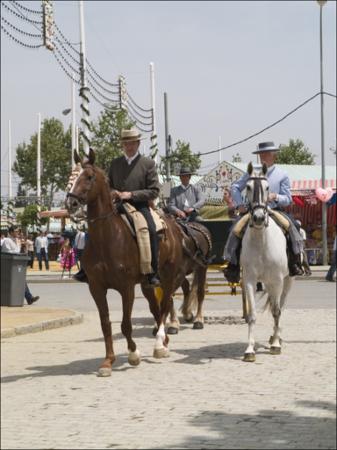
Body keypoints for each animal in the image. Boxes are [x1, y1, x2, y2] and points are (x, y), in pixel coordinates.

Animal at [65, 149, 210, 374]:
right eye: (71, 176)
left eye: (88, 176)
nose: (70, 203)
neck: (107, 237)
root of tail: (177, 228)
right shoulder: (96, 288)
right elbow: (106, 323)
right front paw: (108, 361)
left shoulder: (126, 288)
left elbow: (126, 324)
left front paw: (133, 354)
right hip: (147, 284)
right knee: (157, 309)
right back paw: (164, 340)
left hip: (170, 277)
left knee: (167, 304)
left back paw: (161, 343)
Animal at [240, 162, 292, 362]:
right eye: (247, 187)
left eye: (268, 187)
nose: (259, 218)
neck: (262, 241)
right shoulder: (249, 280)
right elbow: (252, 315)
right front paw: (249, 349)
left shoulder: (277, 280)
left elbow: (277, 311)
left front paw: (276, 345)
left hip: (286, 282)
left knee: (280, 307)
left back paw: (276, 338)